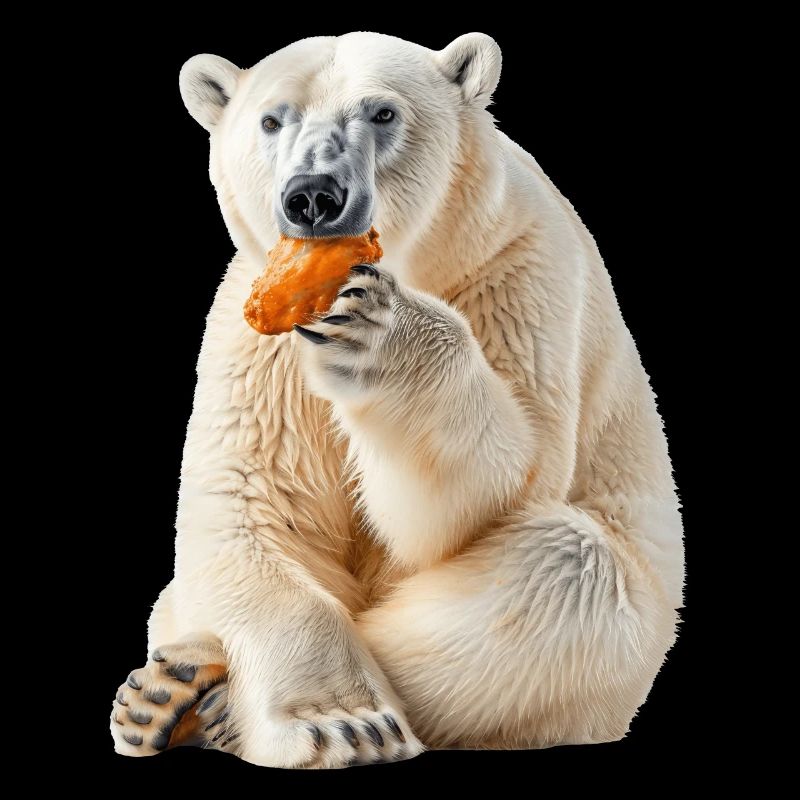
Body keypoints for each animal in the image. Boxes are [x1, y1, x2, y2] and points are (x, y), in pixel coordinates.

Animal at [110, 31, 684, 768]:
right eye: (272, 119)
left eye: (382, 113)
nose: (313, 196)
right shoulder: (257, 340)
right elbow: (254, 507)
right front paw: (342, 723)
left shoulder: (520, 273)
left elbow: (500, 488)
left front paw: (381, 330)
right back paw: (162, 696)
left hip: (636, 632)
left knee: (568, 571)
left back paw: (202, 701)